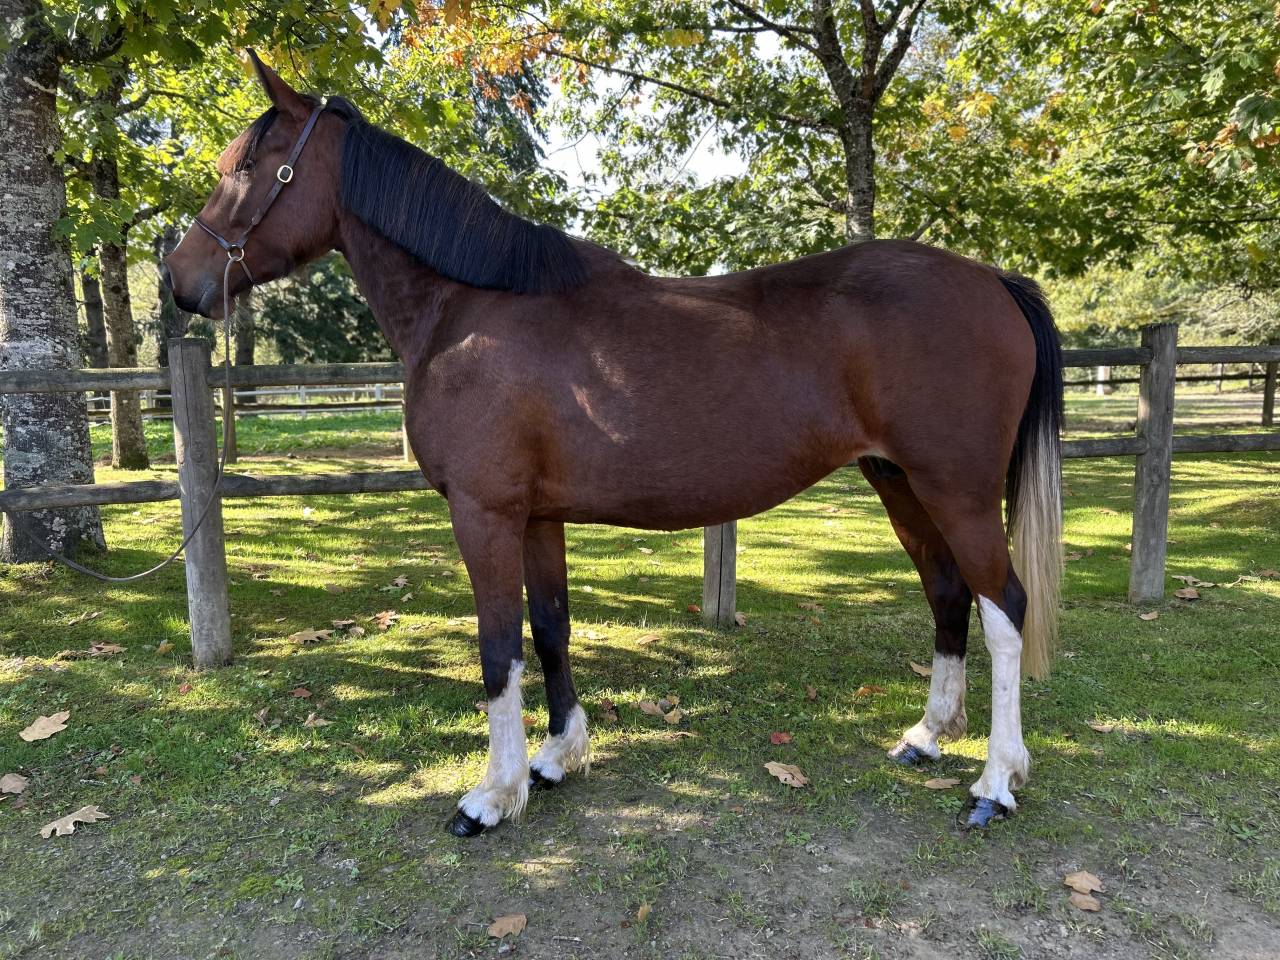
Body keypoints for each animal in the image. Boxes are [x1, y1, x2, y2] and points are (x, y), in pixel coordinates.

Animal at [163, 53, 1064, 836]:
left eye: (246, 165)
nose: (178, 280)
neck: (470, 309)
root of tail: (992, 281)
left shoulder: (484, 515)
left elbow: (498, 650)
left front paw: (493, 794)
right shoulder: (536, 517)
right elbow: (550, 628)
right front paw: (557, 758)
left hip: (956, 491)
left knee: (1005, 611)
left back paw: (995, 782)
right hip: (898, 482)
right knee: (948, 597)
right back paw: (927, 738)